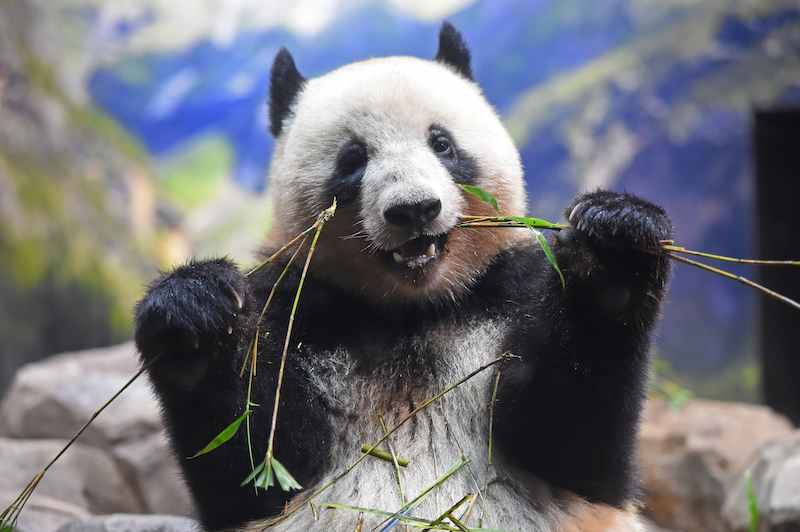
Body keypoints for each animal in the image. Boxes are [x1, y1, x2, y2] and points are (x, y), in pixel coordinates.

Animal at [134, 22, 672, 532]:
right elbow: (255, 462)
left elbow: (569, 434)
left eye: (442, 143)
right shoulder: (296, 307)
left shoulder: (512, 288)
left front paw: (616, 241)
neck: (413, 311)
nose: (414, 210)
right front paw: (195, 311)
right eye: (352, 159)